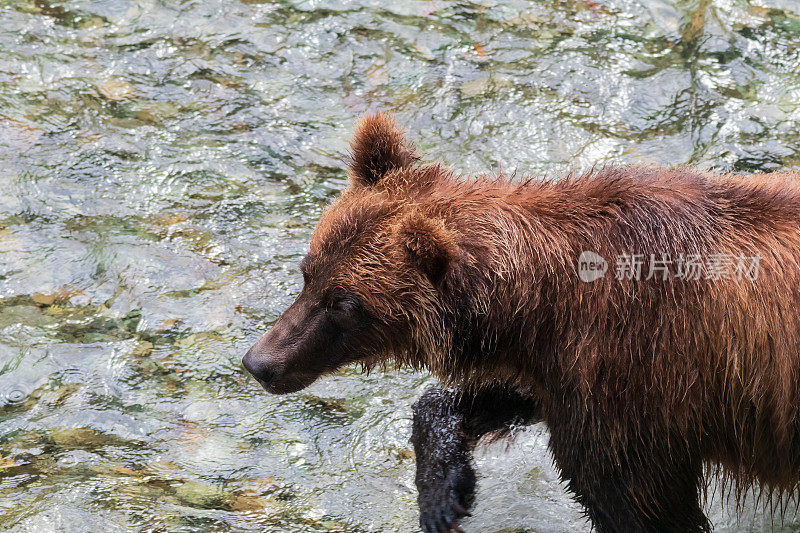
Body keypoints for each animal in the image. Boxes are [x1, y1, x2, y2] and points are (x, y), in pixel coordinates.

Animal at [241, 110, 800, 528]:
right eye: (307, 273)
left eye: (345, 303)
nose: (260, 361)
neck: (542, 305)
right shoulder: (568, 367)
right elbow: (487, 398)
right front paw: (444, 493)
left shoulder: (634, 378)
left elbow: (638, 502)